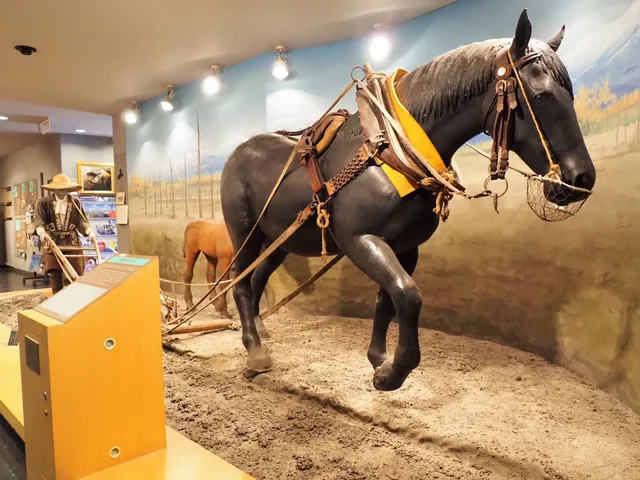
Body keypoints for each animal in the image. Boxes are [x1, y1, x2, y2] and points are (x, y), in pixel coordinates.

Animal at [219, 10, 596, 391]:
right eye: (541, 95)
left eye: (571, 95)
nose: (581, 179)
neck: (391, 148)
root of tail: (237, 153)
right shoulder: (360, 239)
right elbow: (407, 294)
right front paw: (393, 373)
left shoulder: (406, 246)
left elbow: (388, 300)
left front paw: (379, 360)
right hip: (245, 234)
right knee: (239, 283)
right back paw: (255, 350)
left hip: (279, 239)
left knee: (256, 278)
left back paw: (259, 330)